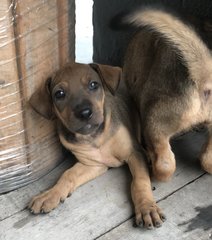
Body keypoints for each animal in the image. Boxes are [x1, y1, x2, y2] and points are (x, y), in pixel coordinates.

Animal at [28, 62, 166, 230]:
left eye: (93, 84)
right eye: (59, 94)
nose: (84, 113)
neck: (94, 137)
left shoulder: (134, 153)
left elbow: (139, 181)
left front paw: (147, 207)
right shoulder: (93, 164)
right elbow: (68, 174)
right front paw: (50, 194)